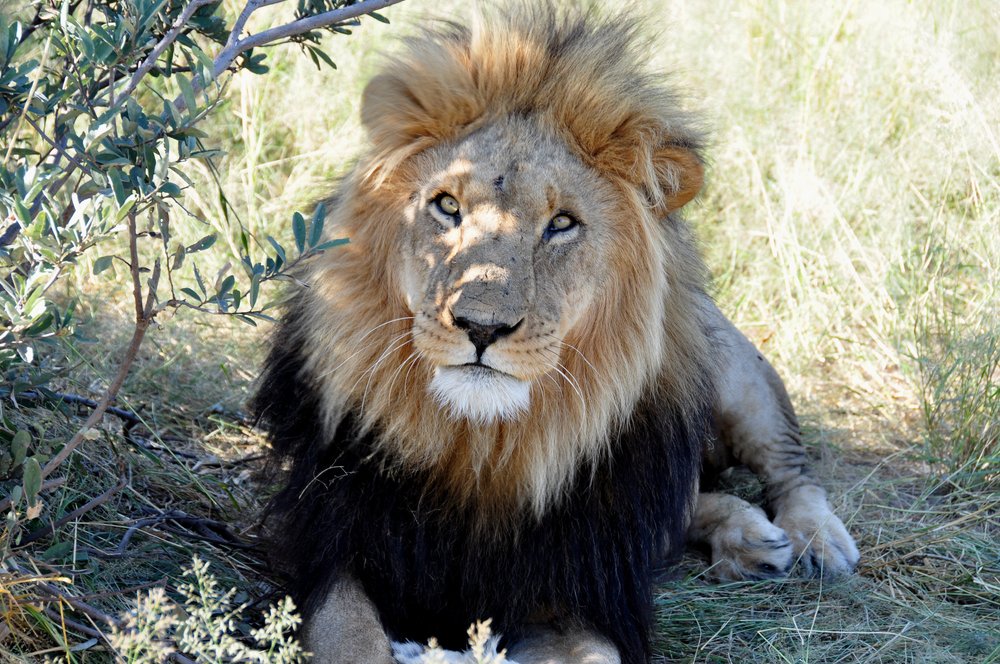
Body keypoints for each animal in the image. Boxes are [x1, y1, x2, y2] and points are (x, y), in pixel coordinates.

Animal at [254, 6, 864, 664]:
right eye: (447, 206)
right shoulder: (339, 549)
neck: (482, 447)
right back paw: (750, 536)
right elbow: (352, 640)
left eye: (562, 224)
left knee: (788, 467)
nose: (482, 326)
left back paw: (814, 541)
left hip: (735, 374)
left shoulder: (574, 587)